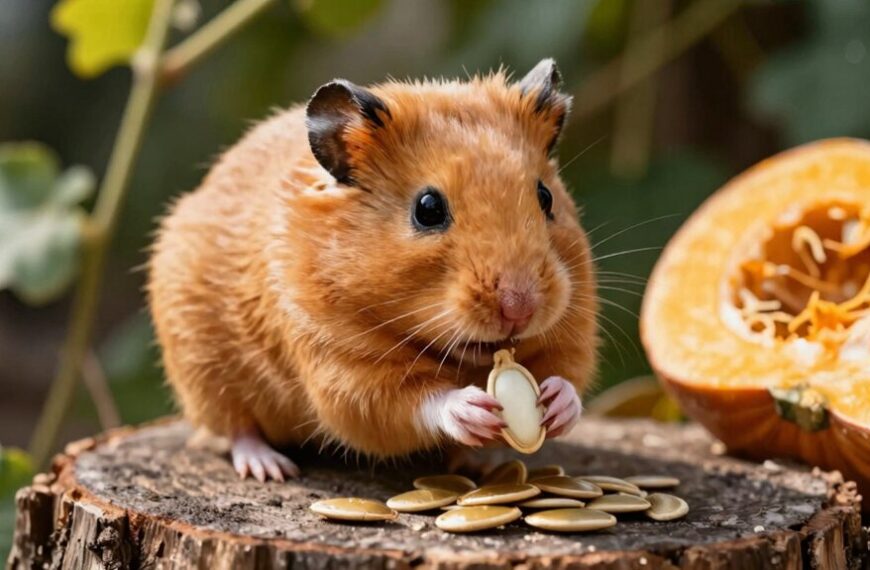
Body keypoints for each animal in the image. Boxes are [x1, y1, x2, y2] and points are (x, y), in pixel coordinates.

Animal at [147, 59, 598, 481]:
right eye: (427, 209)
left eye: (545, 197)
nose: (520, 309)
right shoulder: (341, 368)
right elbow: (410, 402)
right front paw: (470, 408)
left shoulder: (571, 329)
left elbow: (567, 374)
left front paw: (557, 402)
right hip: (203, 372)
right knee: (235, 428)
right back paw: (270, 468)